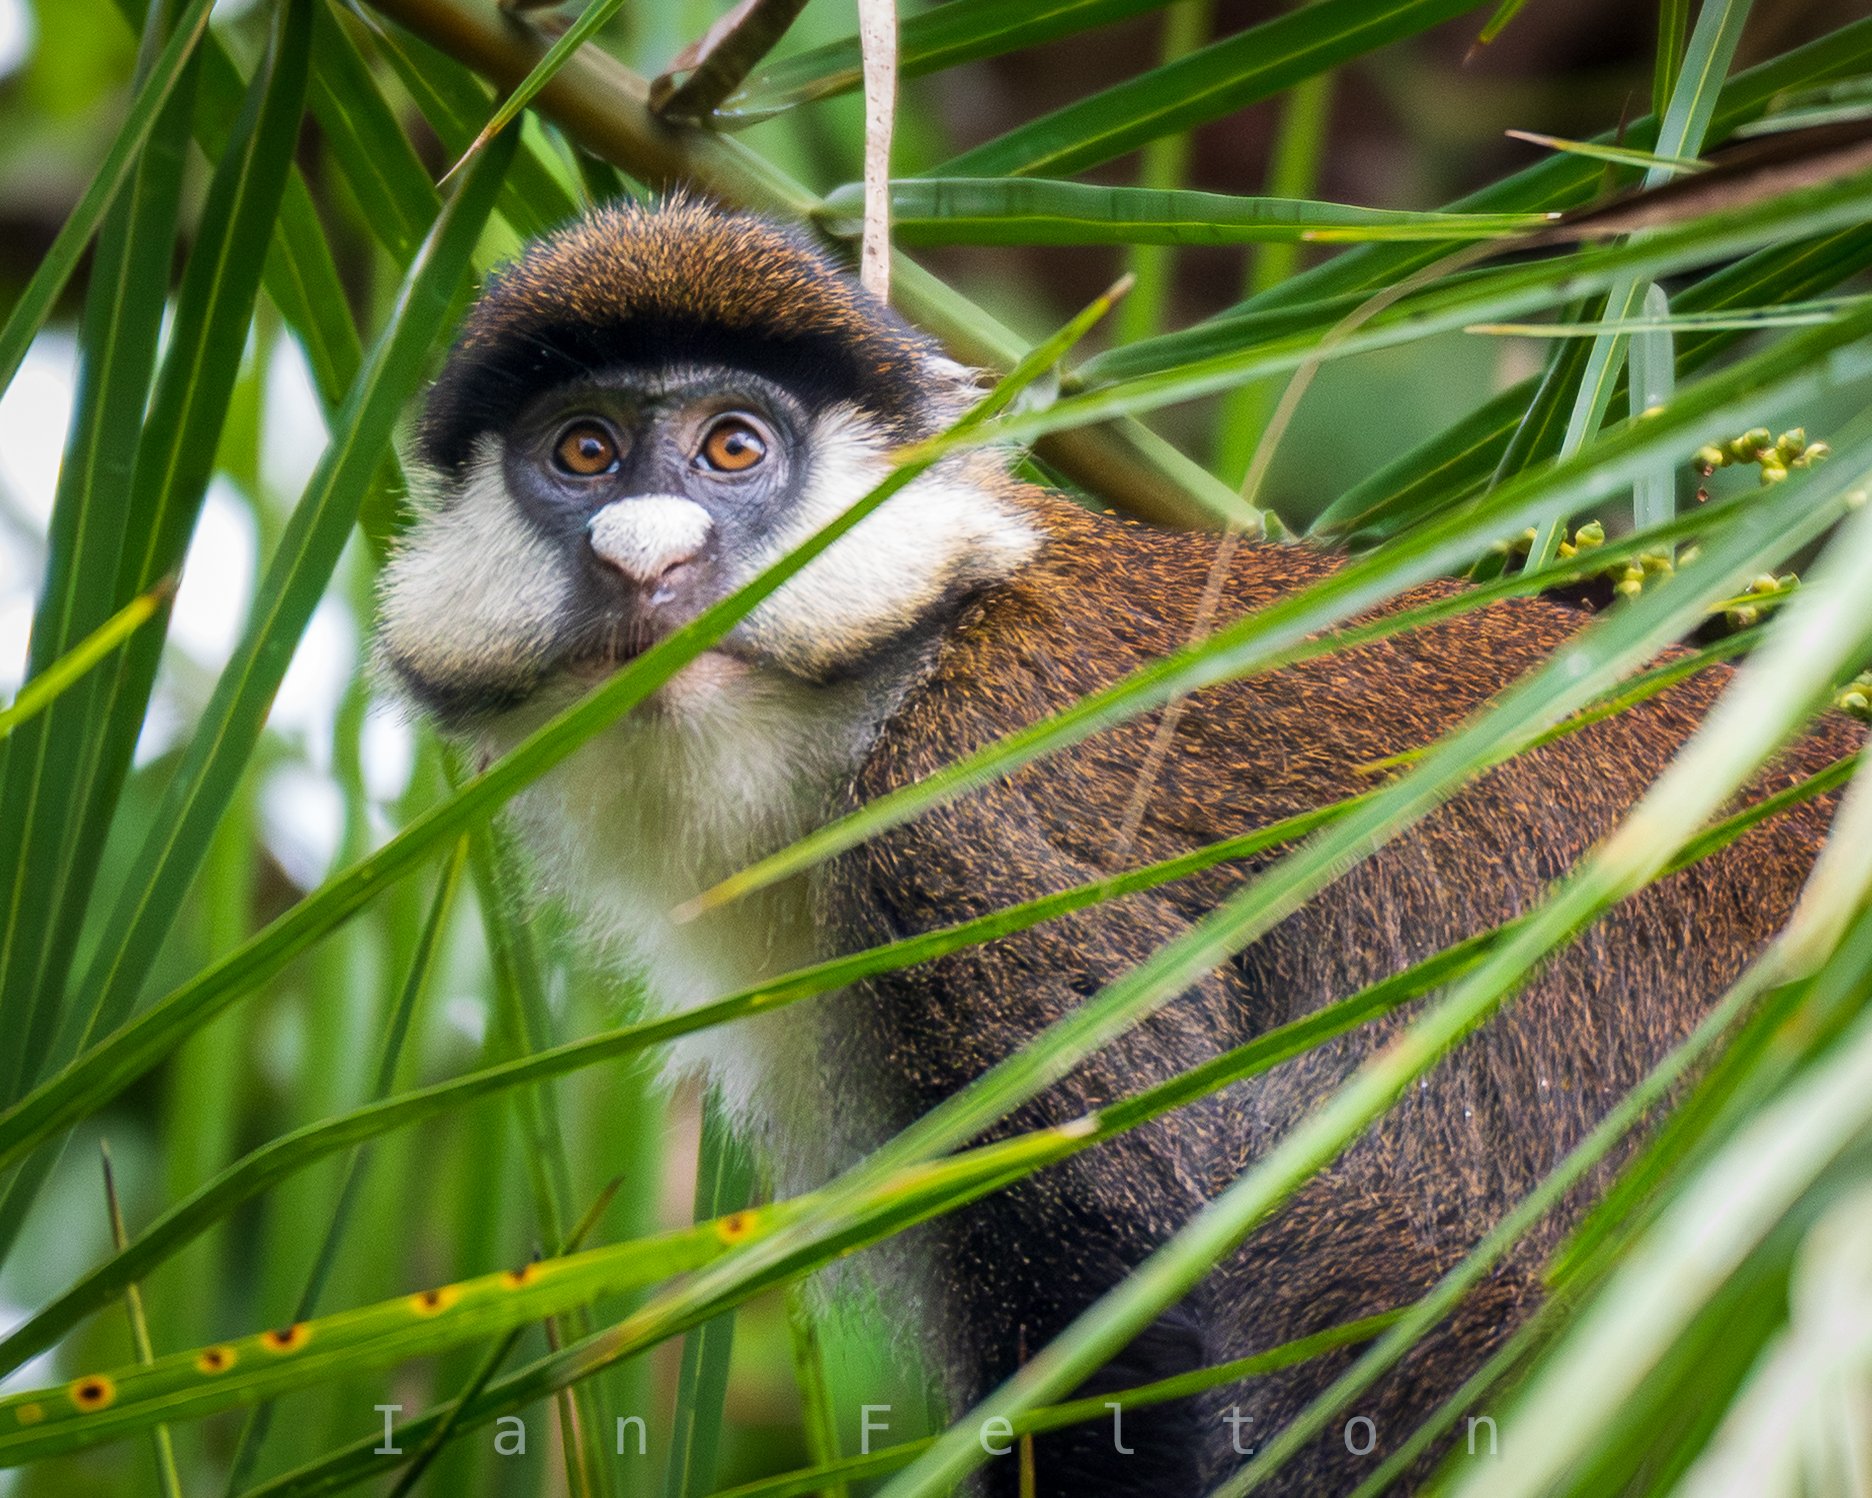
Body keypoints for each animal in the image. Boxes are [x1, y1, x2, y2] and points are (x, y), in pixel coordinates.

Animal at [375, 198, 1861, 1496]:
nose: (645, 560)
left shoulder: (970, 823)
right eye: (584, 455)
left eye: (733, 450)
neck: (886, 689)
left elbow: (1122, 1296)